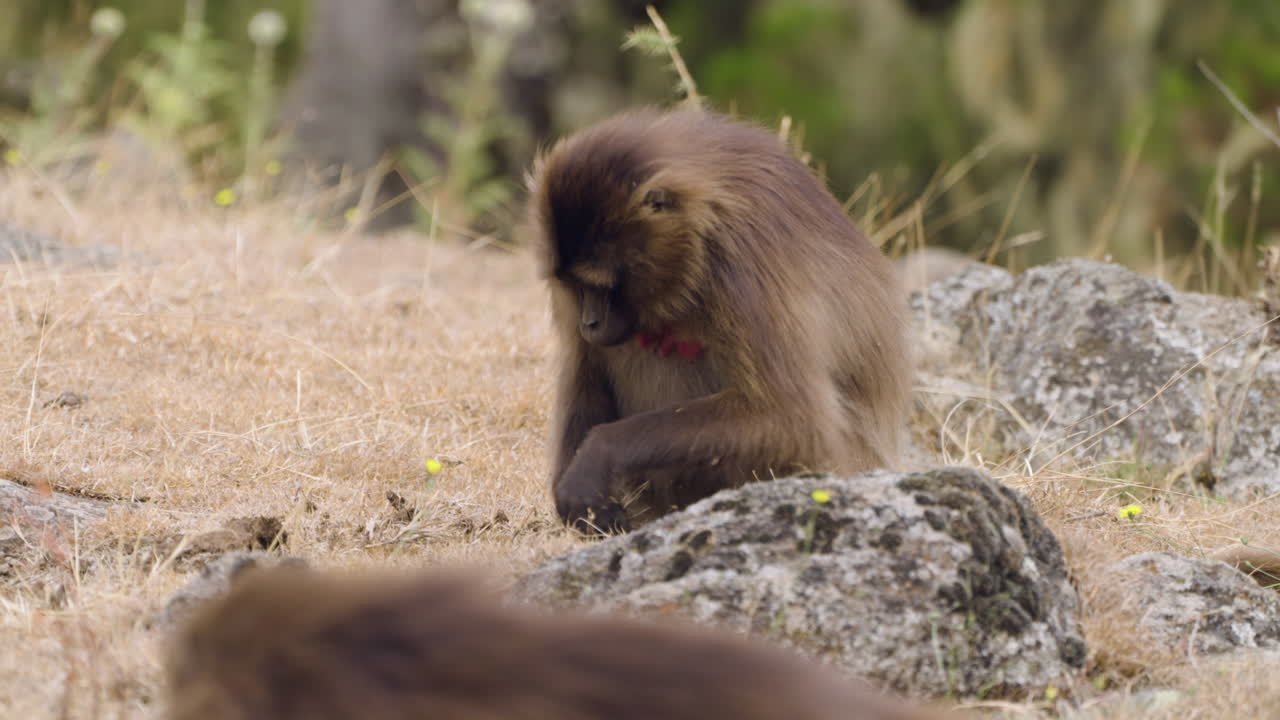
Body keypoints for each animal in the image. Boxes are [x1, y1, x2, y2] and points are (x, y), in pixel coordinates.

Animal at [527, 108, 911, 533]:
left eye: (601, 285)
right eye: (575, 285)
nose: (589, 324)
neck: (699, 230)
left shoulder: (743, 258)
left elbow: (792, 417)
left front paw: (597, 456)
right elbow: (585, 365)